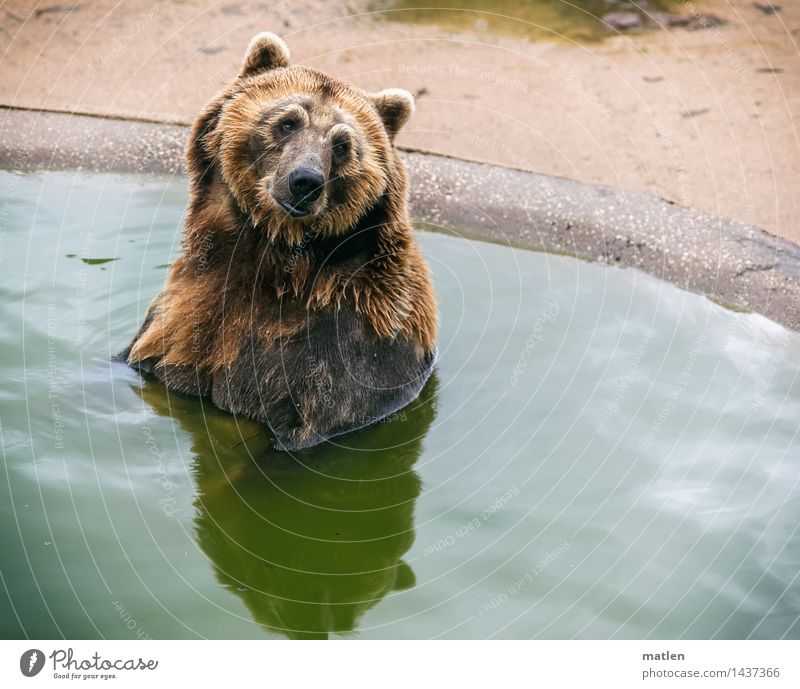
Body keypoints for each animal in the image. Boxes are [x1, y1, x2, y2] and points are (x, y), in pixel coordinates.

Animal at [122, 33, 440, 452]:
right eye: (288, 122)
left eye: (342, 145)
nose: (305, 181)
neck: (270, 253)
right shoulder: (184, 317)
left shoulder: (348, 346)